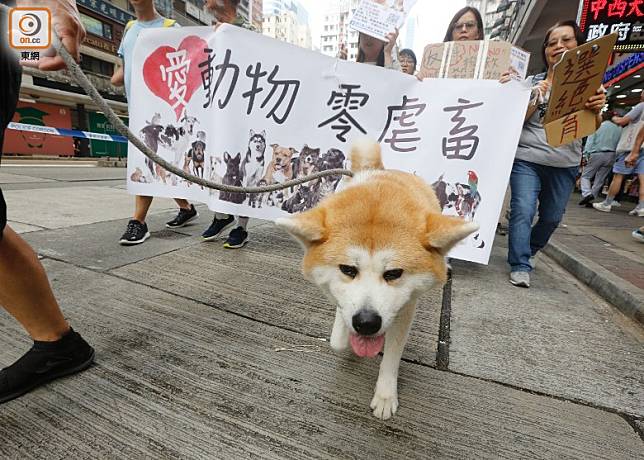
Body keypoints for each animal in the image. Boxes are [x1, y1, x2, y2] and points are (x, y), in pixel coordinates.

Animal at [276, 139, 478, 420]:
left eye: (393, 273)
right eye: (348, 269)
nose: (366, 323)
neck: (379, 189)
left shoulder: (405, 309)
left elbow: (391, 356)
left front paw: (385, 395)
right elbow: (338, 340)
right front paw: (344, 335)